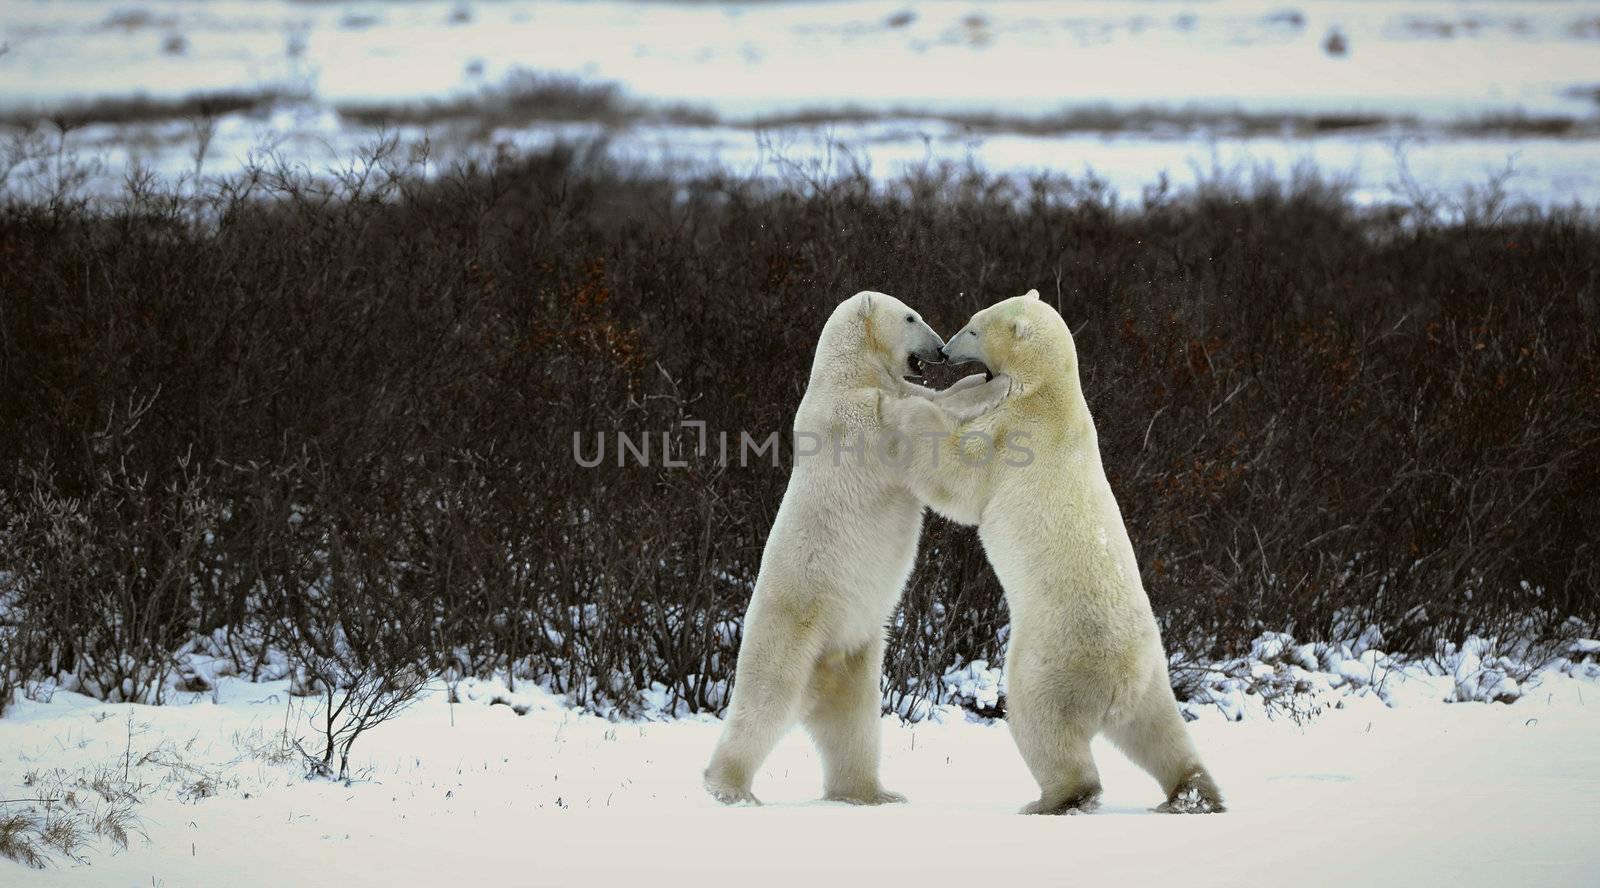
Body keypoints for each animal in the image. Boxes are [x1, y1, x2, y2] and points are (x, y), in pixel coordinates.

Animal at [704, 289, 1004, 806]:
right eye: (911, 316)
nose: (940, 349)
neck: (845, 373)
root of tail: (819, 677)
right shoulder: (860, 417)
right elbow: (921, 424)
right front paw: (997, 385)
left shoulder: (890, 391)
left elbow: (933, 399)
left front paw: (975, 379)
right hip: (791, 631)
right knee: (764, 703)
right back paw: (729, 788)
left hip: (855, 655)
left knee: (855, 727)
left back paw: (872, 793)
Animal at [889, 289, 1222, 812]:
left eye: (974, 328)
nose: (944, 350)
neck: (1049, 393)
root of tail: (1121, 681)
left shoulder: (1012, 433)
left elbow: (958, 477)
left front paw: (912, 415)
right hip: (1154, 674)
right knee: (1161, 733)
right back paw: (1193, 794)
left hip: (1052, 658)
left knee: (1042, 722)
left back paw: (1056, 798)